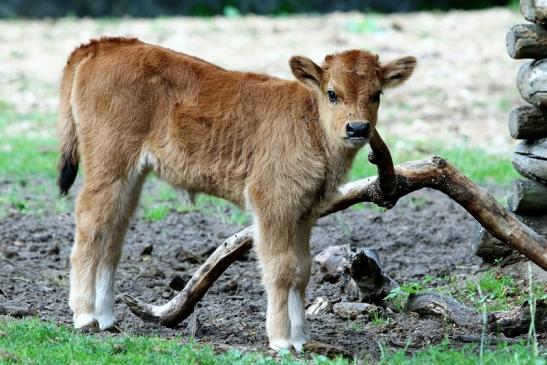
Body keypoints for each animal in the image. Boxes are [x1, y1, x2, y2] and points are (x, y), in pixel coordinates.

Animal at [57, 37, 416, 350]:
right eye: (332, 93)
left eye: (377, 94)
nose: (358, 128)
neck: (310, 120)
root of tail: (102, 45)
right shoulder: (272, 204)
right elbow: (281, 269)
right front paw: (281, 340)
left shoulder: (304, 213)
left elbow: (301, 270)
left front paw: (301, 338)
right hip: (109, 167)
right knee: (89, 227)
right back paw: (85, 316)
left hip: (130, 178)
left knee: (111, 236)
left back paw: (106, 317)